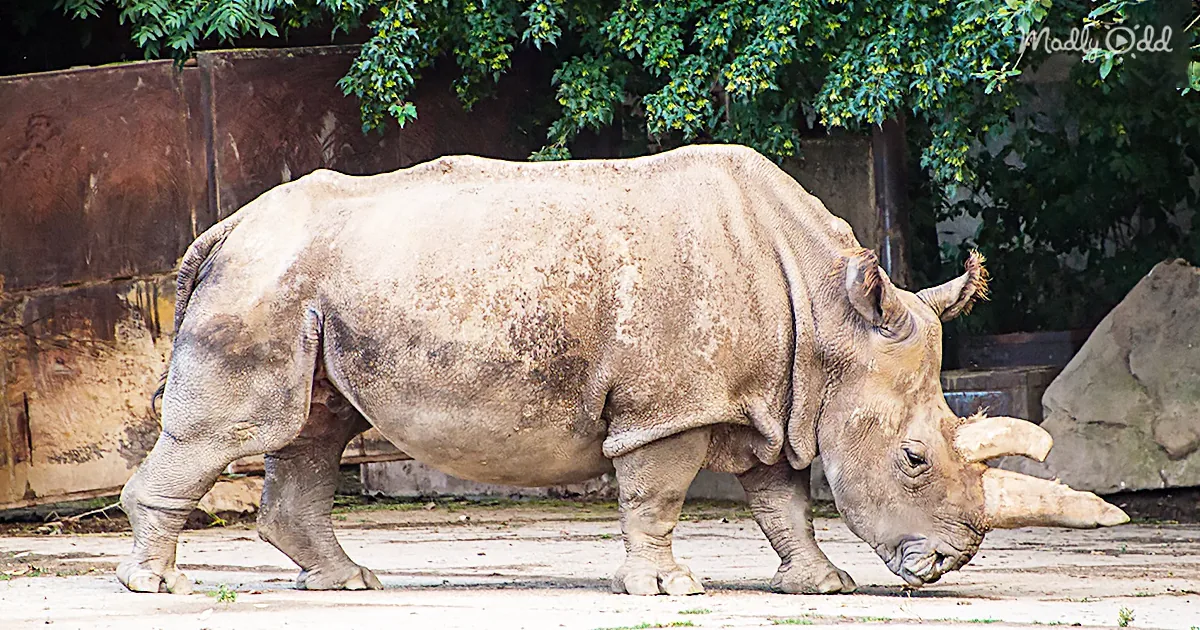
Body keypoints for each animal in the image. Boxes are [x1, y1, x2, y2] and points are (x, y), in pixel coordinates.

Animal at [118, 144, 1126, 596]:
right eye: (914, 459)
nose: (947, 564)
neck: (831, 316)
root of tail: (223, 229)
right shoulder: (672, 406)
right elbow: (659, 493)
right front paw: (671, 591)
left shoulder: (771, 398)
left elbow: (782, 498)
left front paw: (822, 587)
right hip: (265, 282)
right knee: (239, 428)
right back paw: (153, 588)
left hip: (309, 287)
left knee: (315, 430)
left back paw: (348, 585)